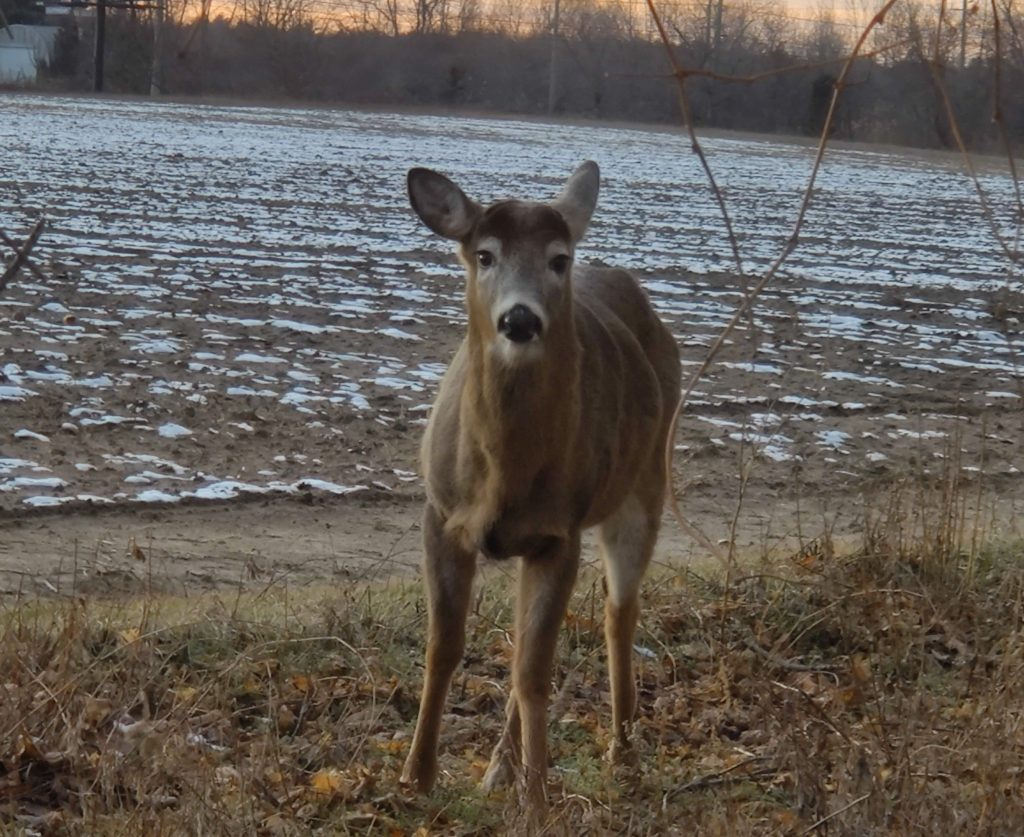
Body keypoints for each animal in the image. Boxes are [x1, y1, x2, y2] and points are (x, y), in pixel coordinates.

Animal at [399, 161, 681, 825]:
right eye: (484, 254)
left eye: (558, 258)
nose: (520, 319)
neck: (502, 476)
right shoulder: (441, 515)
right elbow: (445, 647)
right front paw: (416, 778)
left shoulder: (560, 532)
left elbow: (533, 672)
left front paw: (538, 801)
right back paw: (500, 768)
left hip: (644, 486)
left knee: (618, 613)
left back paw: (622, 752)